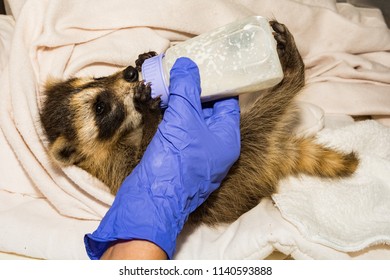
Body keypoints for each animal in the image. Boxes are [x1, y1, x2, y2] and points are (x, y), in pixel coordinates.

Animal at [41, 22, 358, 228]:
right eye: (100, 107)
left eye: (96, 78)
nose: (130, 73)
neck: (124, 132)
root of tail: (271, 151)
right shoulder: (116, 168)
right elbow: (148, 166)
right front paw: (151, 111)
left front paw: (146, 62)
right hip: (248, 145)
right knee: (274, 104)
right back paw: (292, 73)